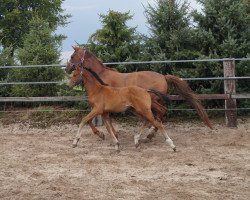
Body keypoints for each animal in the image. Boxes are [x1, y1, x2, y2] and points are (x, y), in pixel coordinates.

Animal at [66, 46, 213, 130]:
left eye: (72, 56)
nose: (67, 69)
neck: (101, 76)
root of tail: (163, 77)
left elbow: (91, 120)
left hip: (152, 101)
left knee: (159, 114)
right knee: (160, 115)